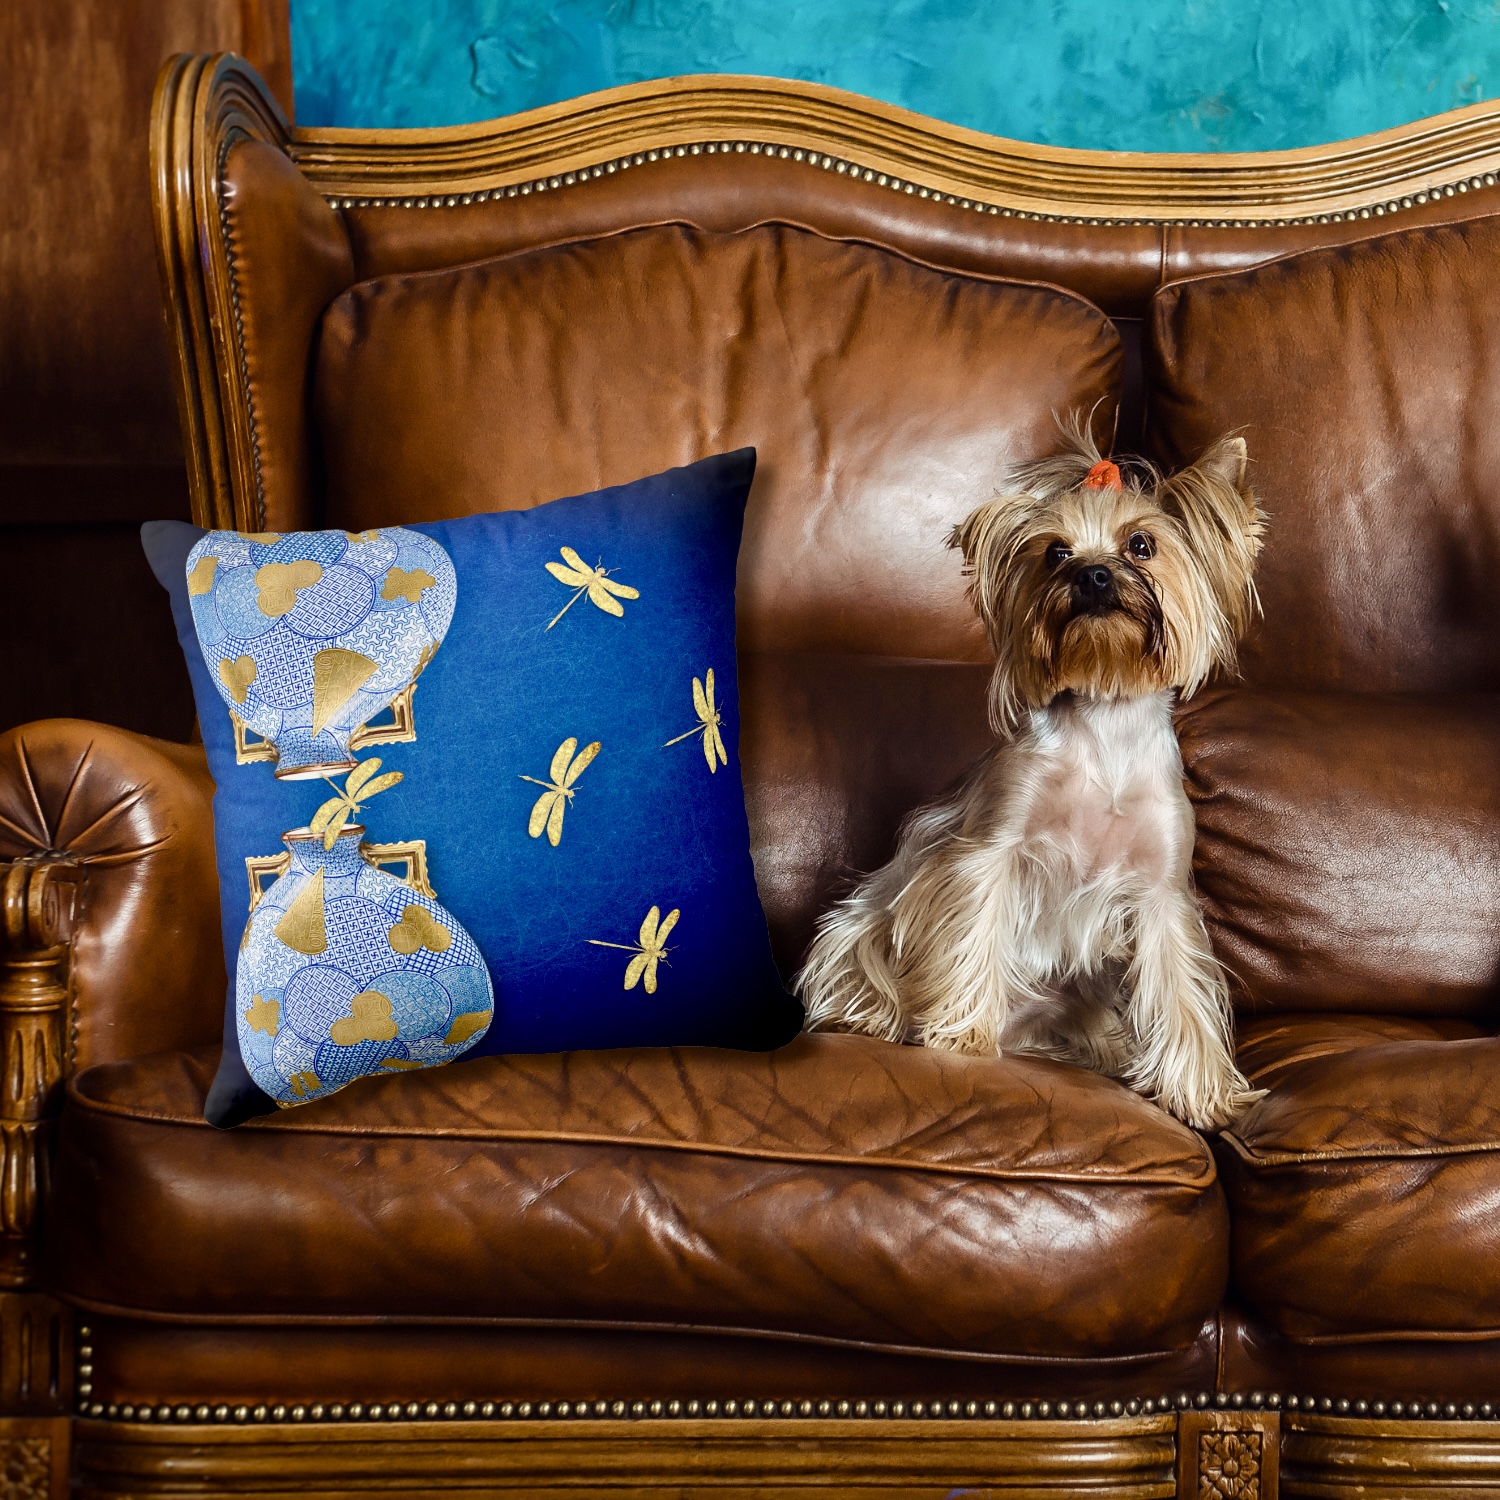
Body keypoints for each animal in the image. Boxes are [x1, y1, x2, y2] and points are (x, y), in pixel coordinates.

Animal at [798, 423, 1266, 1128]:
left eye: (1142, 544)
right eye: (1055, 553)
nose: (1093, 574)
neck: (1105, 713)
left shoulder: (1162, 891)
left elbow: (1180, 987)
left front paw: (1202, 1092)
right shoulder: (992, 846)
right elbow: (974, 926)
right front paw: (961, 1034)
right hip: (862, 926)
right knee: (859, 956)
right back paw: (877, 1020)